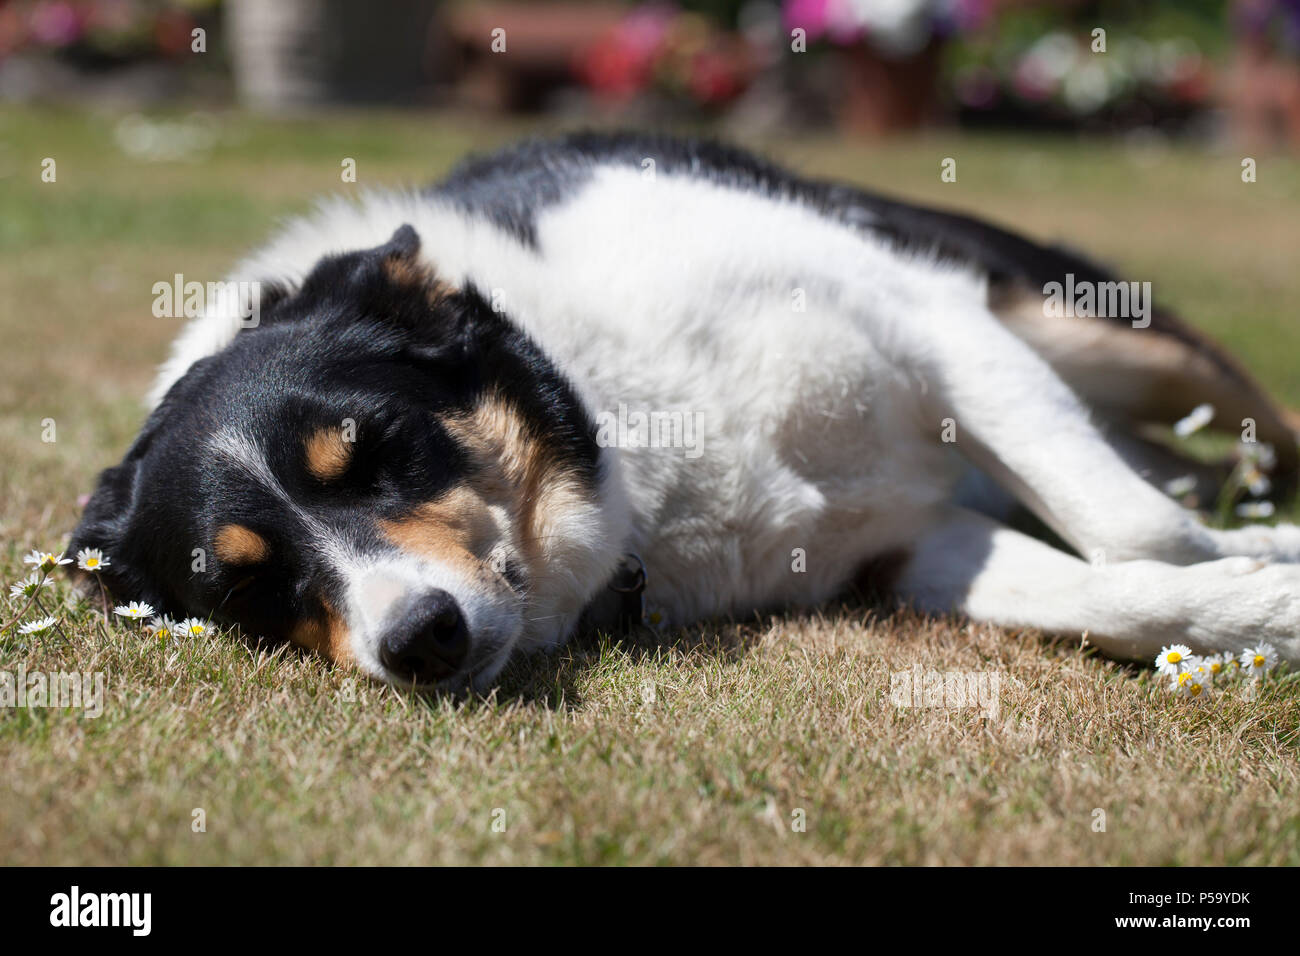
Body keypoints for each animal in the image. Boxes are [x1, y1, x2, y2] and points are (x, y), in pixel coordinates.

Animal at [68, 132, 1300, 686]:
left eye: (380, 450)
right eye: (248, 587)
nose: (418, 641)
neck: (622, 422)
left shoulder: (936, 323)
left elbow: (1139, 532)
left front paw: (1265, 580)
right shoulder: (910, 546)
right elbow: (1117, 587)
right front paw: (1253, 609)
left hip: (1087, 325)